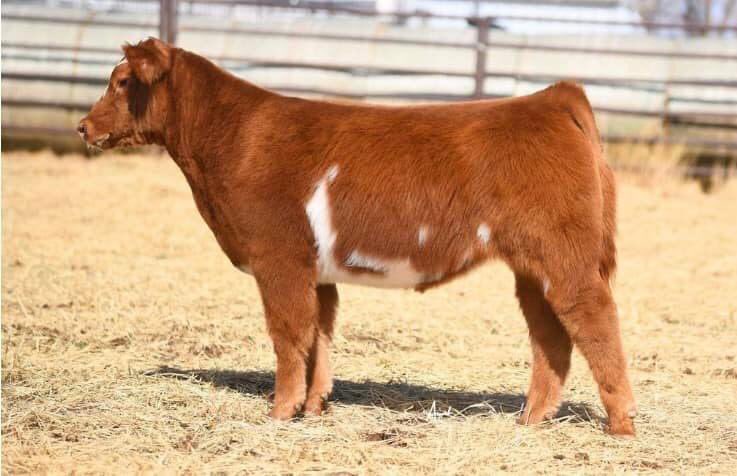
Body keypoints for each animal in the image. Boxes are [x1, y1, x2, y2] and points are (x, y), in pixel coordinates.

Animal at [78, 38, 636, 436]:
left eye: (122, 80)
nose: (83, 126)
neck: (233, 137)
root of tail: (552, 97)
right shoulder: (316, 270)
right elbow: (319, 336)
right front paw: (314, 407)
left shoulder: (278, 258)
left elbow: (288, 335)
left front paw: (279, 412)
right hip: (532, 267)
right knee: (551, 336)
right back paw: (530, 419)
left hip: (565, 257)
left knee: (595, 321)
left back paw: (621, 424)